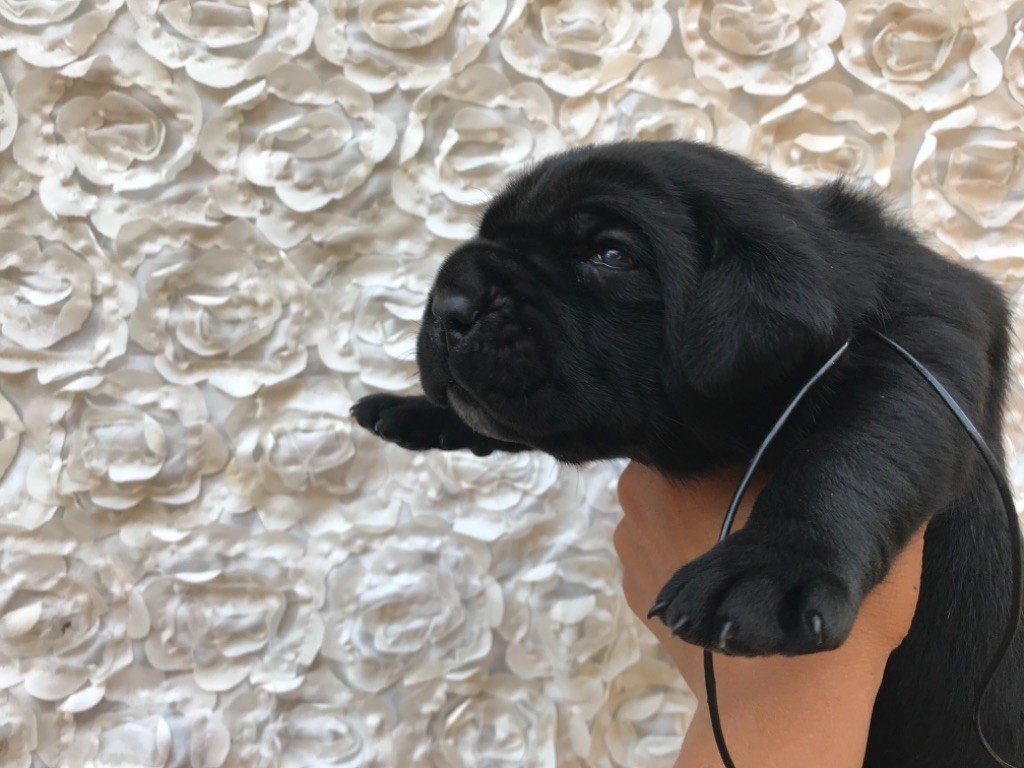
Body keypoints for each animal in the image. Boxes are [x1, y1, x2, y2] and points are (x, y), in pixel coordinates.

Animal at [352, 141, 1022, 767]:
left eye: (612, 255)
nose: (449, 303)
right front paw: (417, 410)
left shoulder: (921, 349)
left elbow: (859, 448)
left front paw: (774, 562)